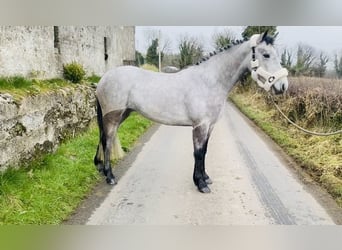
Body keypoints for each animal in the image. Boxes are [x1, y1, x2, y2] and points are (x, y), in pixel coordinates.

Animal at [93, 32, 288, 193]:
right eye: (266, 54)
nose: (283, 86)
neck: (210, 81)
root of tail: (103, 79)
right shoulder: (200, 126)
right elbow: (198, 153)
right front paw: (200, 183)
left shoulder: (209, 126)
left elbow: (205, 151)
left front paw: (205, 178)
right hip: (113, 116)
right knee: (107, 141)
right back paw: (110, 176)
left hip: (122, 114)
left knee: (104, 138)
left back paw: (101, 167)